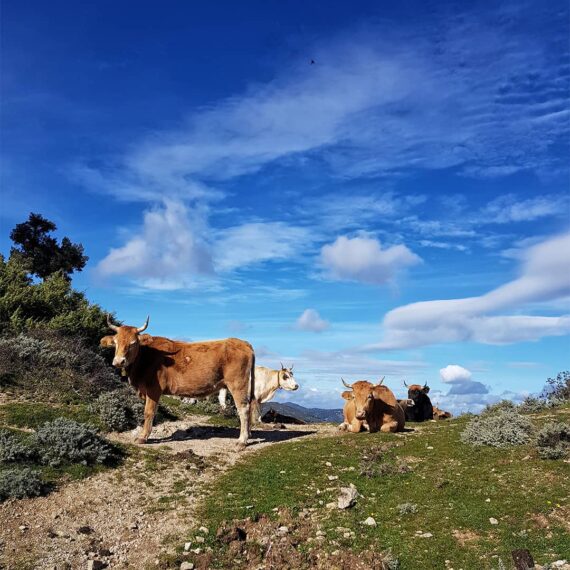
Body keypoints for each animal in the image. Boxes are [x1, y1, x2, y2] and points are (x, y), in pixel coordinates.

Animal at [100, 312, 255, 446]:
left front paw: (143, 437)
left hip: (238, 384)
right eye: (115, 342)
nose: (118, 361)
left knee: (243, 409)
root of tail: (243, 342)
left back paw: (242, 440)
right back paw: (248, 435)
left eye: (133, 343)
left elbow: (148, 412)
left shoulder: (153, 389)